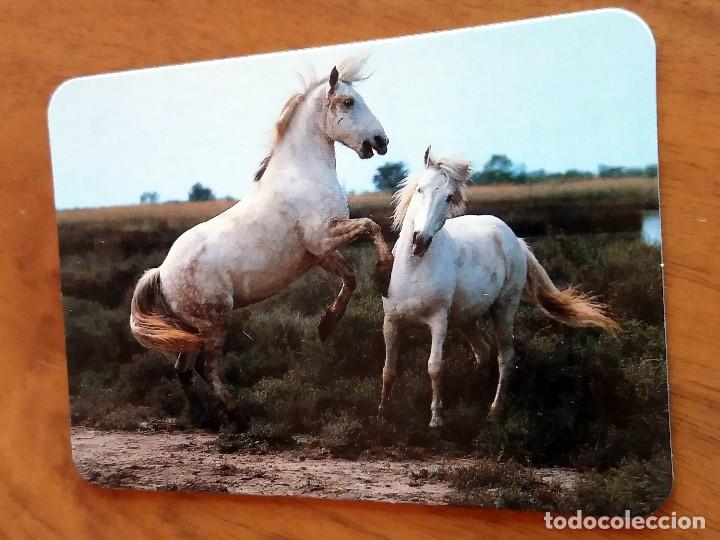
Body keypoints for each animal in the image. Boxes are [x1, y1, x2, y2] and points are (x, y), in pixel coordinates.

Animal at [130, 58, 394, 430]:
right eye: (348, 102)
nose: (381, 141)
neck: (304, 173)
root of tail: (161, 273)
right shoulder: (323, 236)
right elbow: (372, 227)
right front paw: (385, 271)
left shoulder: (319, 252)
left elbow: (351, 276)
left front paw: (326, 326)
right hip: (214, 321)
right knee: (205, 368)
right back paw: (236, 415)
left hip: (191, 328)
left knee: (183, 368)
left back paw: (202, 417)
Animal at [378, 147, 619, 428]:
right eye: (420, 189)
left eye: (448, 197)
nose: (420, 240)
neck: (414, 268)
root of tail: (514, 239)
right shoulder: (392, 320)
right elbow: (388, 369)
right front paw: (383, 412)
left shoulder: (438, 321)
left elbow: (435, 367)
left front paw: (436, 419)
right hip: (465, 319)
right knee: (483, 351)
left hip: (503, 310)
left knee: (505, 357)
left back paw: (494, 410)